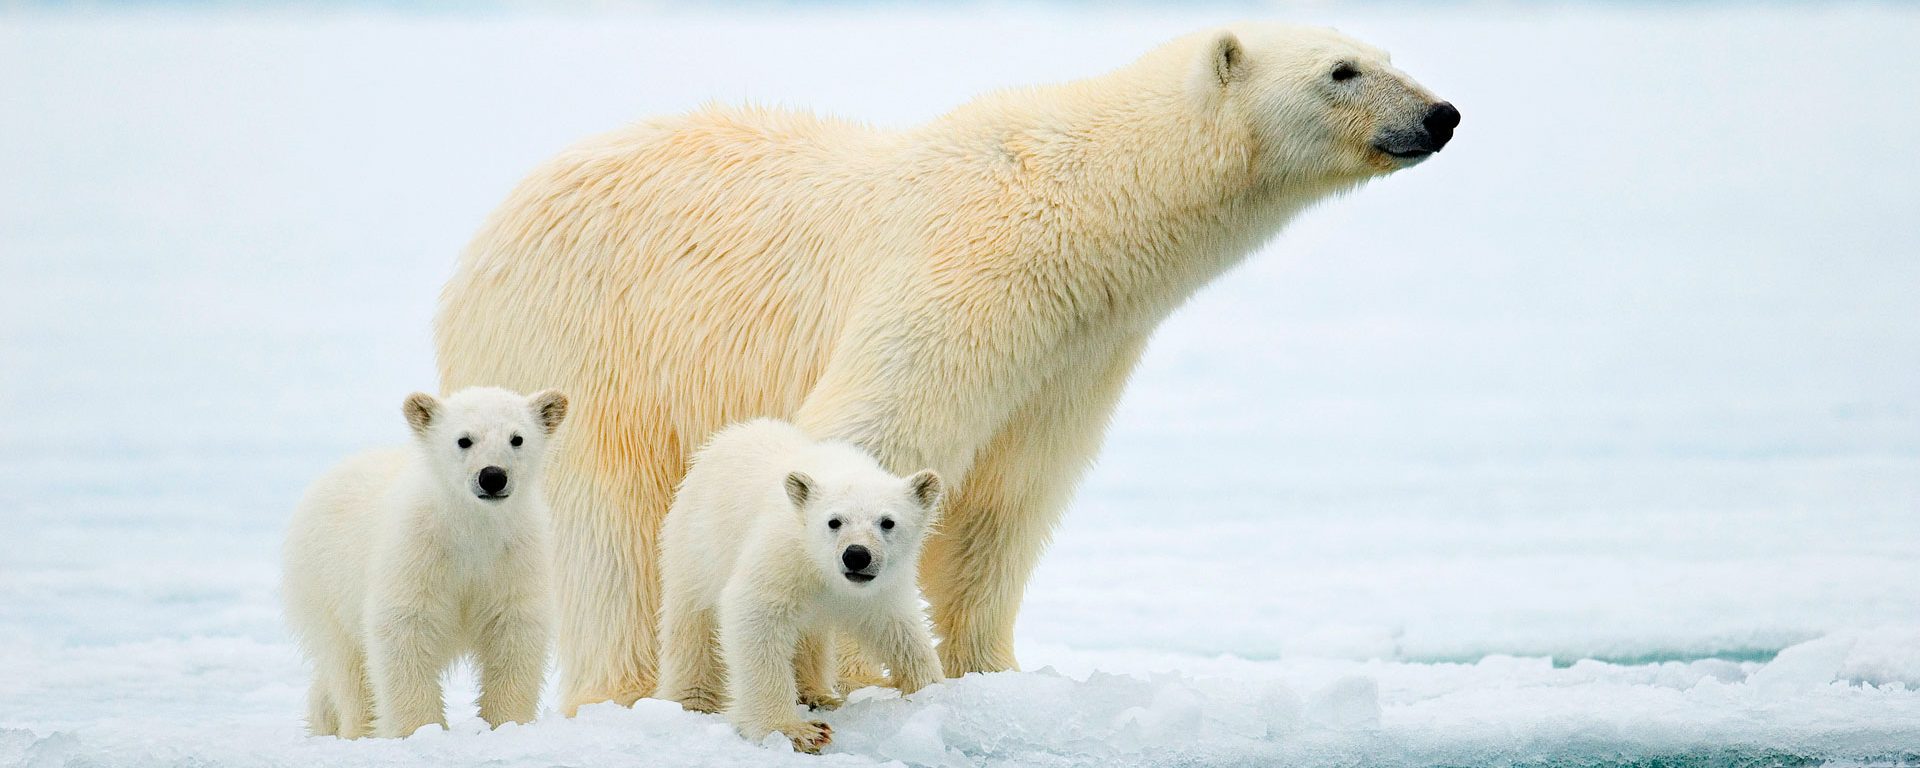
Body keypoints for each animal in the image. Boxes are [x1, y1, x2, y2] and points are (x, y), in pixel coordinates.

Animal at [280, 387, 560, 733]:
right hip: (324, 583)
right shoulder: (417, 550)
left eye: (517, 438)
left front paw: (505, 723)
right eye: (464, 440)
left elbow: (515, 629)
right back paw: (357, 728)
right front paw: (420, 730)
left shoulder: (513, 555)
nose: (493, 476)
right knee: (349, 666)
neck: (471, 526)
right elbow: (405, 628)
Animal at [435, 21, 1451, 710]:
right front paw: (854, 666)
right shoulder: (963, 271)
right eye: (1341, 71)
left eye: (1387, 50)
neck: (1081, 213)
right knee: (611, 536)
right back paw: (632, 690)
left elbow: (1009, 504)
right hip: (587, 349)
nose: (1440, 114)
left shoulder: (1075, 354)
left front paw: (990, 672)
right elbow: (871, 431)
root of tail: (482, 240)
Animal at [656, 416, 948, 752]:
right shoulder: (783, 552)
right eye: (834, 521)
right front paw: (794, 731)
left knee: (811, 636)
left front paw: (933, 690)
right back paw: (693, 701)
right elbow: (755, 614)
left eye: (888, 522)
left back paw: (818, 694)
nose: (856, 555)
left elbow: (899, 629)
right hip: (697, 544)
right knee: (692, 625)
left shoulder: (885, 585)